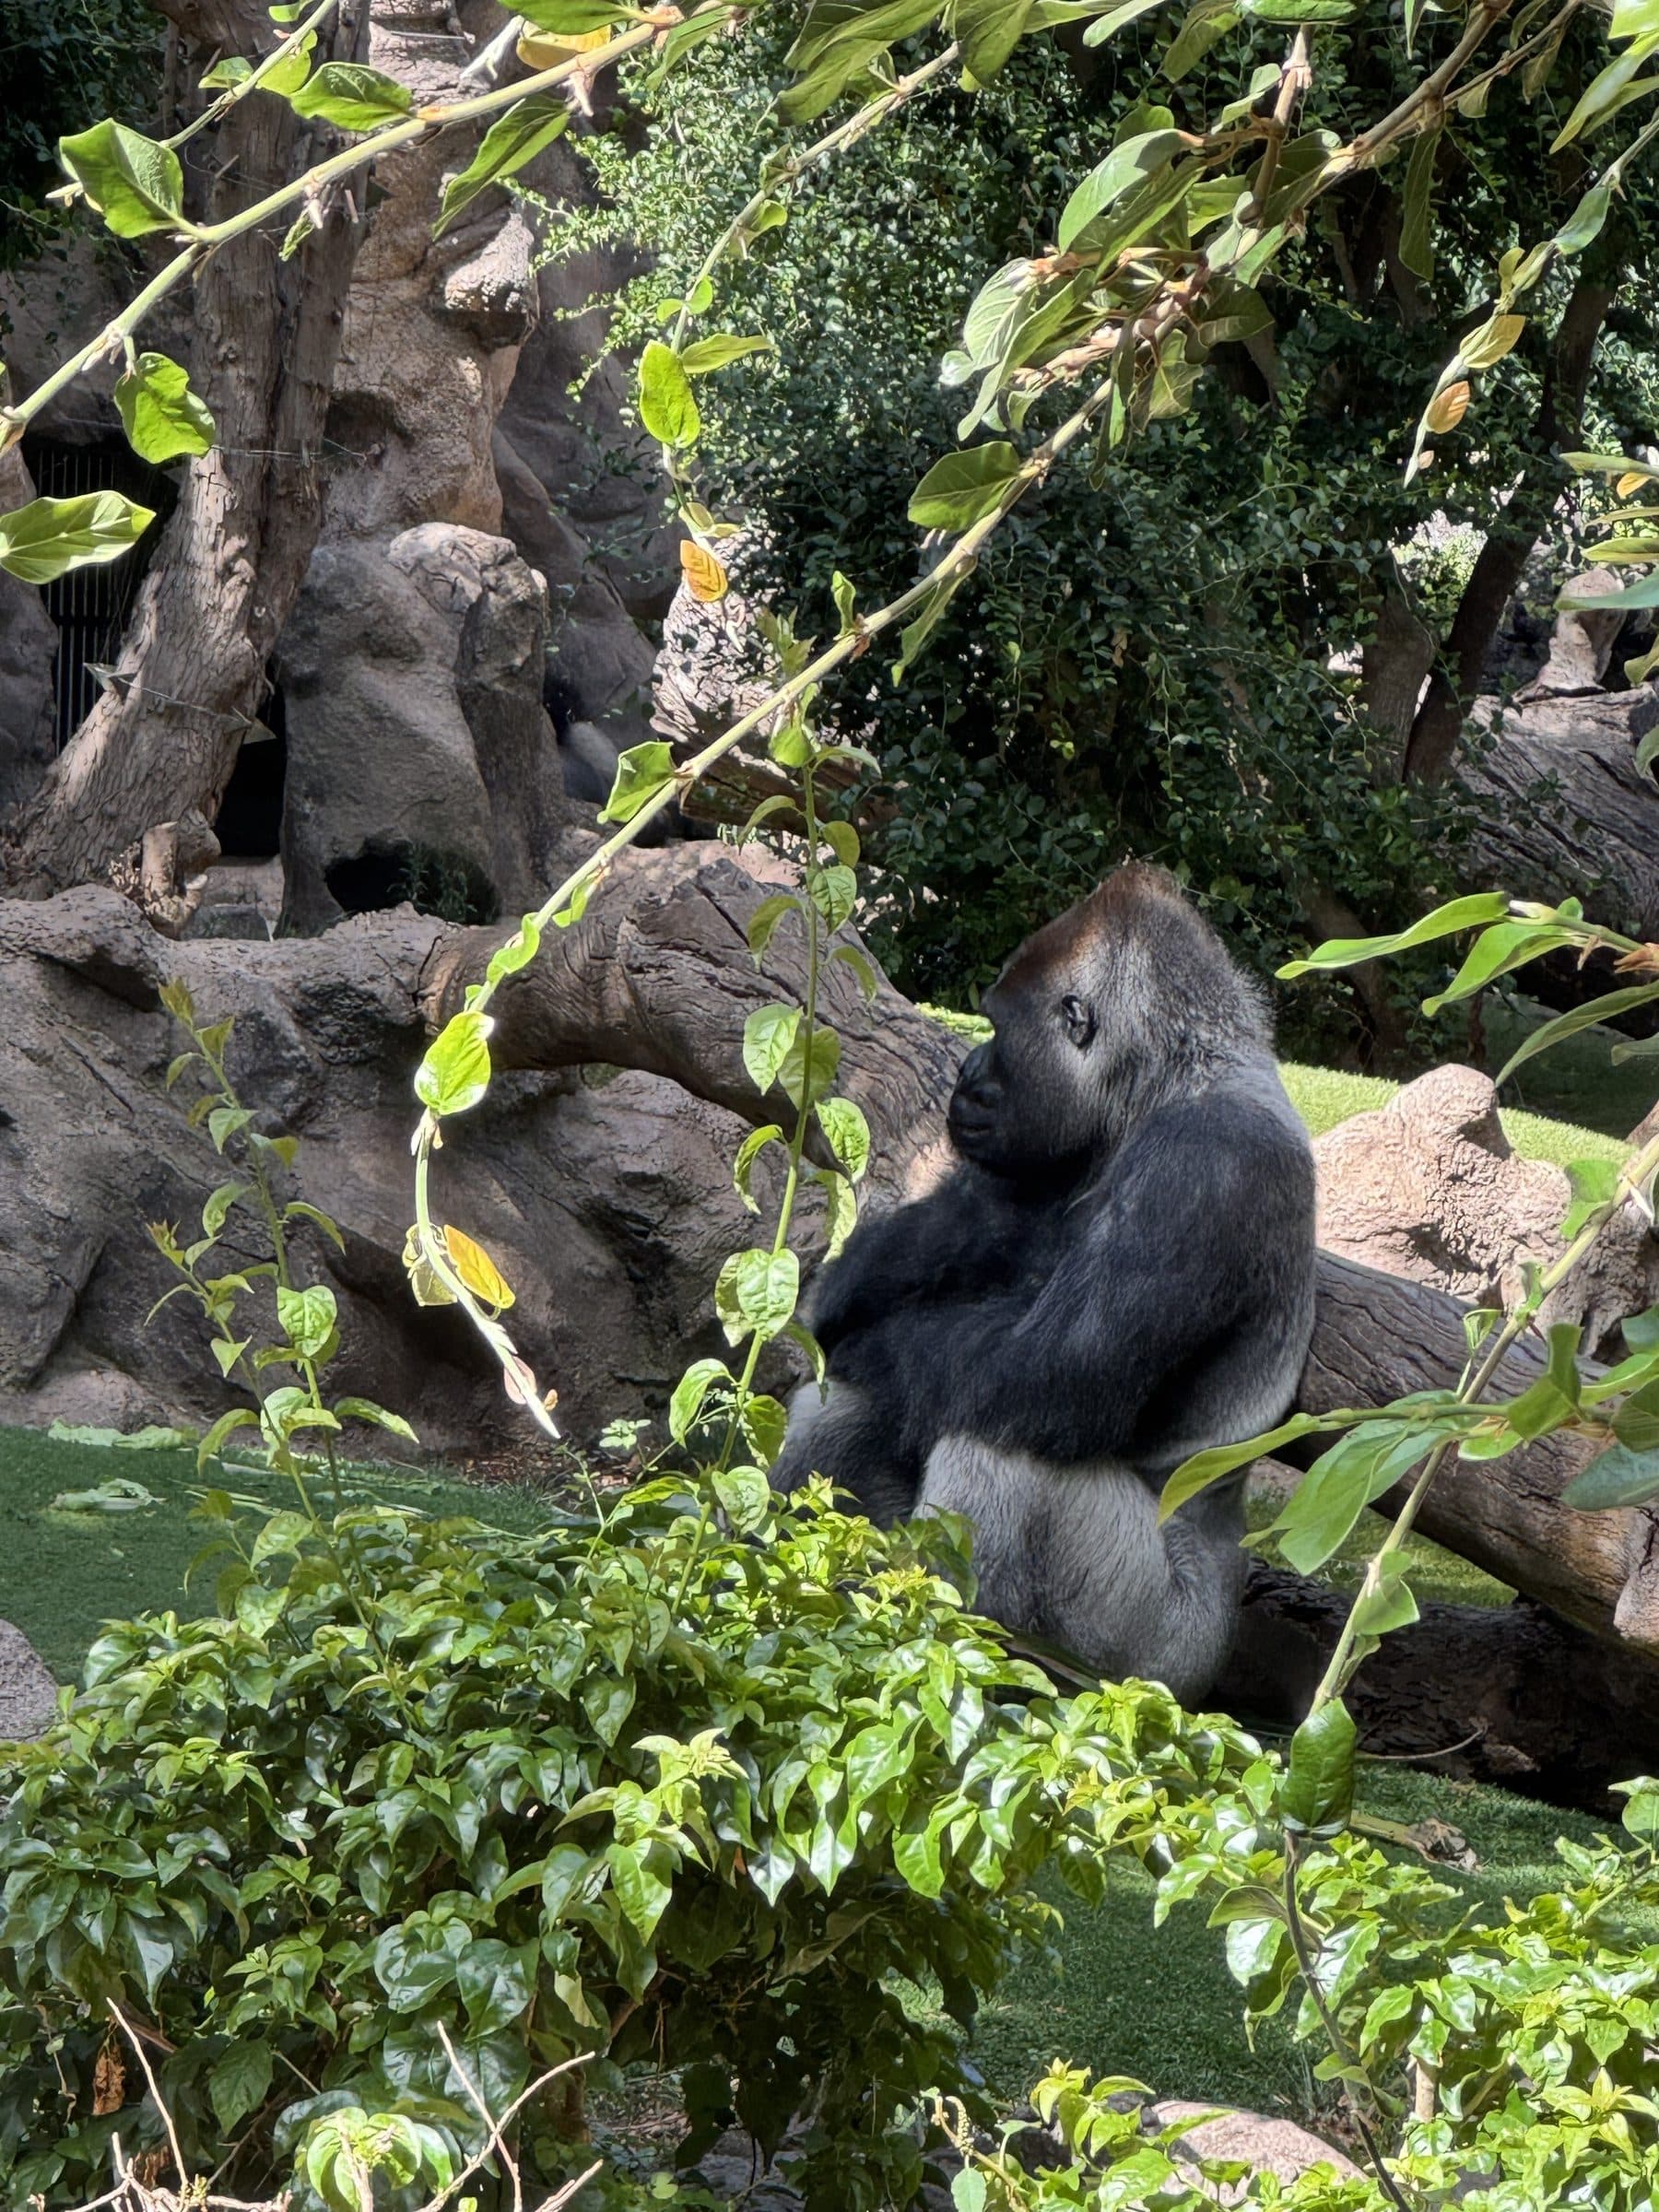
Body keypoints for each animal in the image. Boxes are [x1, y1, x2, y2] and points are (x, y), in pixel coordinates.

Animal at [772, 864, 1317, 1704]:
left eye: (998, 1029)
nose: (967, 1073)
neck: (1167, 1082)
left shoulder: (1206, 1160)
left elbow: (1051, 1372)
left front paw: (861, 1336)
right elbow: (966, 1233)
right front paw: (842, 1294)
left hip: (1153, 1659)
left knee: (1001, 1444)